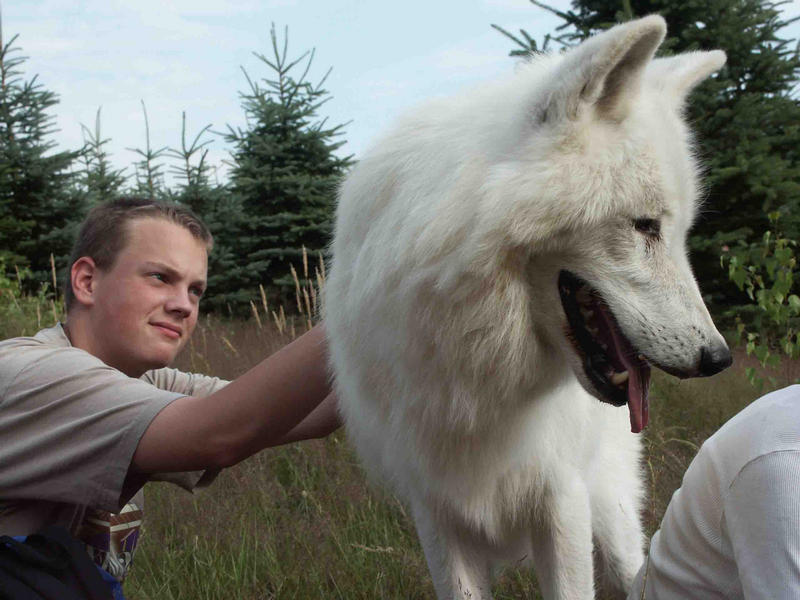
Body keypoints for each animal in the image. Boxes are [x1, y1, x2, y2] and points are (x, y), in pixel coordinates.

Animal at [324, 15, 732, 600]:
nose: (720, 358)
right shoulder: (436, 511)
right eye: (646, 226)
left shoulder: (562, 500)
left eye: (678, 232)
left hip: (610, 509)